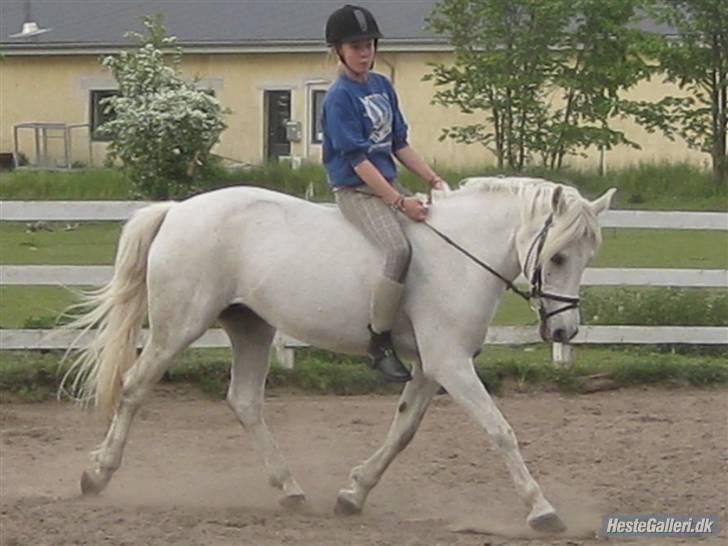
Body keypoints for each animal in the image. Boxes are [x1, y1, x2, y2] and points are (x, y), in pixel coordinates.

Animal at [63, 176, 615, 533]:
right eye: (558, 256)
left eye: (588, 256)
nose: (564, 329)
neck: (460, 255)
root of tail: (177, 210)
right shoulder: (451, 363)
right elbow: (500, 431)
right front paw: (542, 511)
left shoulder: (430, 367)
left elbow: (402, 431)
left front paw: (353, 495)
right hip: (180, 325)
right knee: (135, 388)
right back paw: (95, 475)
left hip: (252, 326)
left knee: (244, 401)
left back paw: (290, 490)